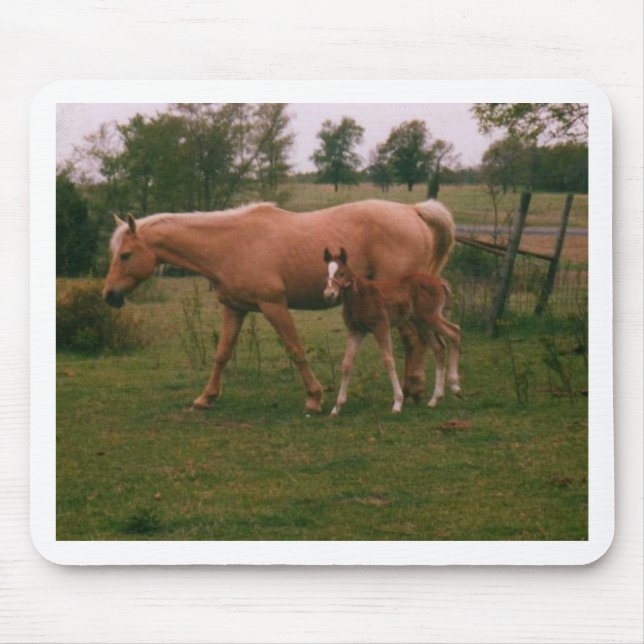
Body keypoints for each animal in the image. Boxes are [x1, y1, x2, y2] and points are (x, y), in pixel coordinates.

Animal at [323, 247, 462, 416]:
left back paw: (455, 386)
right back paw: (435, 399)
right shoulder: (356, 331)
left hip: (431, 317)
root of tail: (439, 282)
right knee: (439, 348)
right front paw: (337, 407)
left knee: (455, 332)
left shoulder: (380, 326)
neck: (359, 296)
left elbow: (388, 360)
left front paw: (398, 402)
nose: (328, 294)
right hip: (422, 323)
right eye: (326, 272)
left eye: (342, 273)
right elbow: (346, 364)